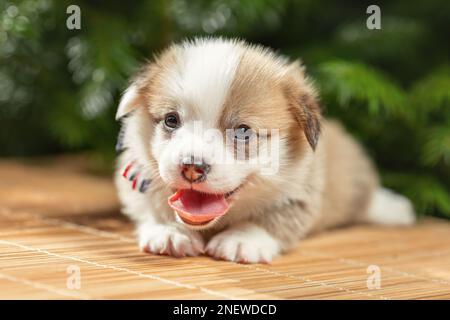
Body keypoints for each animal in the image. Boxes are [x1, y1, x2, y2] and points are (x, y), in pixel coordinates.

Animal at [113, 37, 414, 262]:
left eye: (244, 131)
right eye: (171, 120)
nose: (191, 168)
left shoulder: (301, 192)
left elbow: (272, 219)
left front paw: (241, 239)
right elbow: (153, 204)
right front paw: (169, 231)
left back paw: (395, 208)